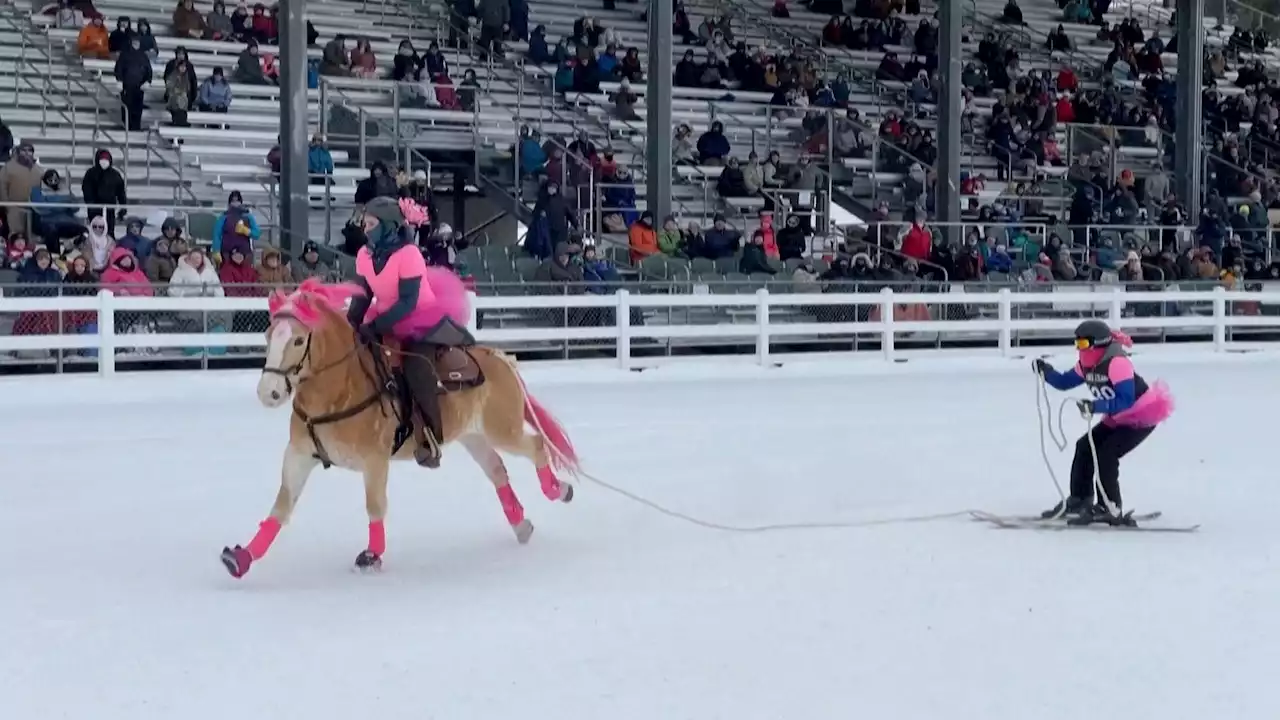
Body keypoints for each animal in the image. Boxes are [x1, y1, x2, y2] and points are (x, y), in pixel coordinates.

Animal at [221, 275, 581, 576]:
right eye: (268, 335)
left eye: (297, 341)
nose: (268, 392)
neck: (341, 386)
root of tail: (501, 357)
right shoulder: (297, 455)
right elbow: (280, 508)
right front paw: (241, 557)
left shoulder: (375, 460)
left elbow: (375, 506)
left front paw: (371, 556)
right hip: (473, 436)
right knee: (498, 471)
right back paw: (522, 525)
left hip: (502, 428)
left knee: (536, 446)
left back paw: (558, 489)